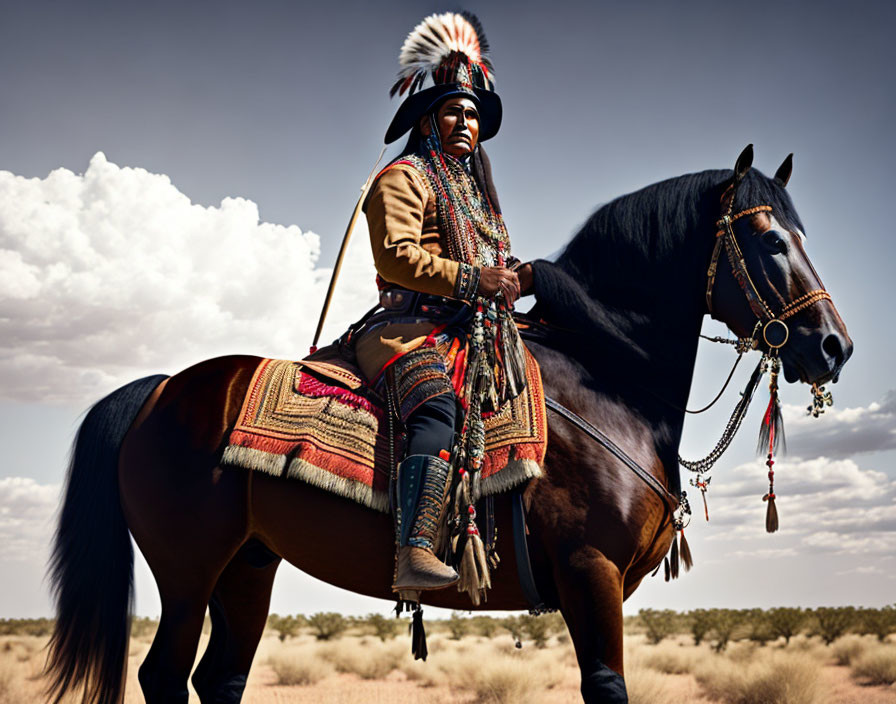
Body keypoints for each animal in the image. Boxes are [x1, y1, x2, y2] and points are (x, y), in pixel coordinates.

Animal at [45, 146, 852, 700]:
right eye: (770, 240)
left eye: (805, 236)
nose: (833, 346)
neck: (606, 378)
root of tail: (161, 391)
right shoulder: (589, 573)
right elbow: (606, 687)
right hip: (187, 572)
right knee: (163, 674)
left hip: (249, 565)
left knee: (220, 678)